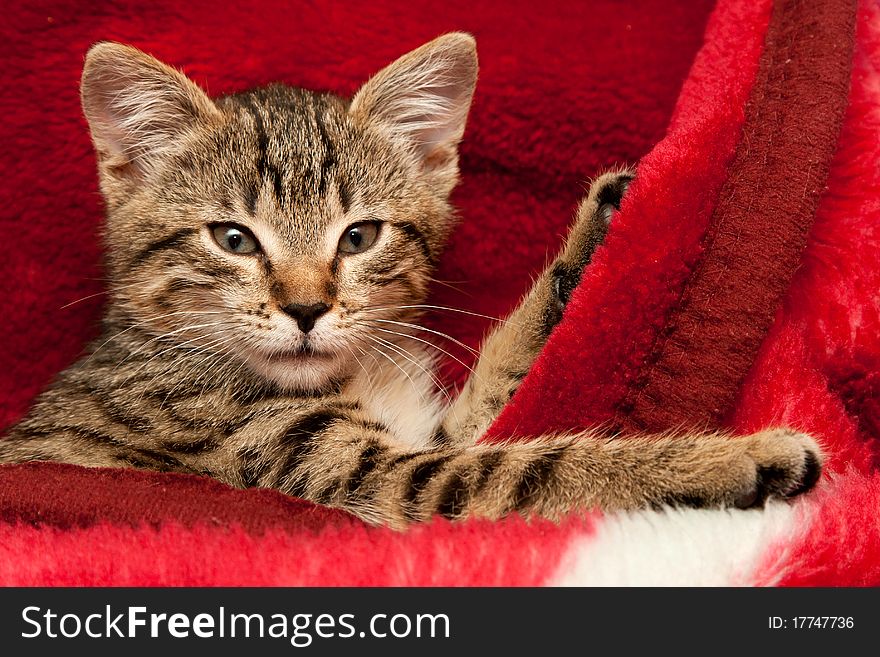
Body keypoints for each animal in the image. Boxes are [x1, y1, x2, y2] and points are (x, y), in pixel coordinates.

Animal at [1, 34, 824, 528]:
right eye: (233, 239)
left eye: (359, 237)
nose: (307, 308)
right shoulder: (372, 476)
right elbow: (538, 467)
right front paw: (731, 460)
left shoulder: (425, 434)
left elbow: (501, 395)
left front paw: (595, 241)